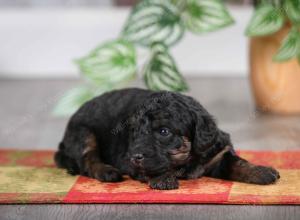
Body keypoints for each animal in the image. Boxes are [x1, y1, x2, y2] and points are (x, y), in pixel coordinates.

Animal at [55, 88, 280, 190]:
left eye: (164, 131)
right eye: (135, 132)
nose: (135, 156)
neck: (188, 159)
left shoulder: (217, 153)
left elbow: (237, 162)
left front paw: (261, 171)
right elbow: (152, 167)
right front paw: (163, 178)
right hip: (84, 133)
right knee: (88, 159)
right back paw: (107, 171)